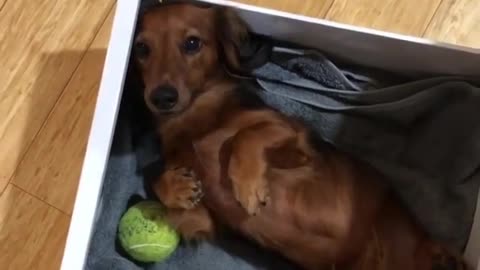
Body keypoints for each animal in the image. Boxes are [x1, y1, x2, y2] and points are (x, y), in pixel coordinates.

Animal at [133, 2, 466, 270]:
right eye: (141, 49)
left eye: (192, 43)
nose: (162, 98)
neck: (196, 121)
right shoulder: (201, 219)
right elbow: (165, 187)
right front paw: (176, 187)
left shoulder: (296, 143)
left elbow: (247, 135)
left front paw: (249, 187)